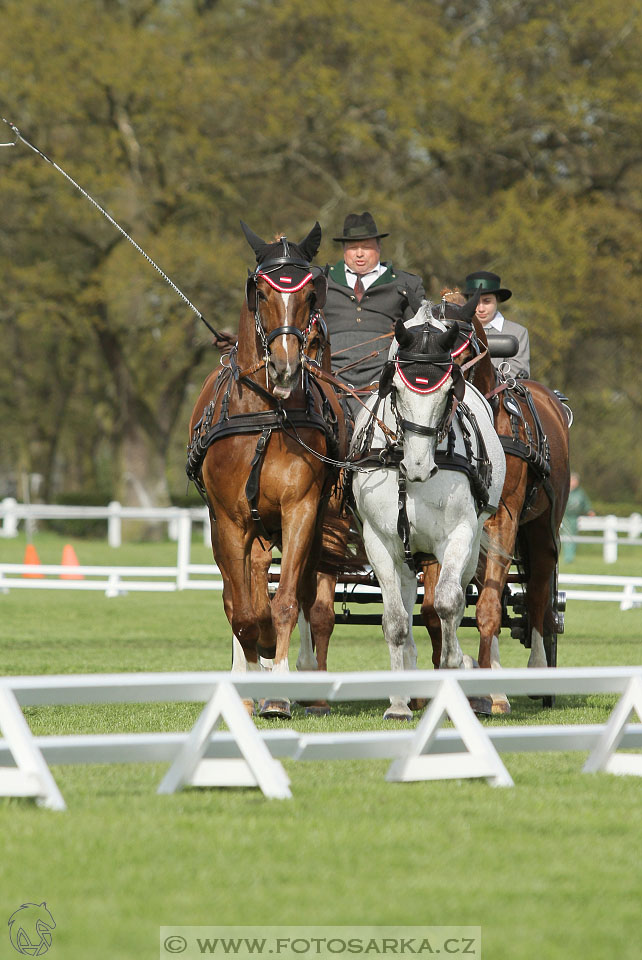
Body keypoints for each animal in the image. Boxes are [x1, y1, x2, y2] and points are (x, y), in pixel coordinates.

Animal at [186, 225, 344, 716]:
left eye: (311, 293)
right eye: (260, 291)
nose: (287, 366)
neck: (268, 416)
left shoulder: (301, 511)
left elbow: (286, 603)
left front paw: (278, 691)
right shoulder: (229, 521)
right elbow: (244, 612)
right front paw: (249, 681)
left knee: (309, 600)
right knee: (238, 593)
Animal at [350, 318, 504, 716]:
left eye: (450, 391)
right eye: (395, 389)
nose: (417, 467)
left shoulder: (460, 534)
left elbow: (448, 603)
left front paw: (454, 664)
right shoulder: (378, 541)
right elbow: (395, 621)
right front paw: (398, 704)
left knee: (461, 600)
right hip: (404, 557)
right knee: (405, 604)